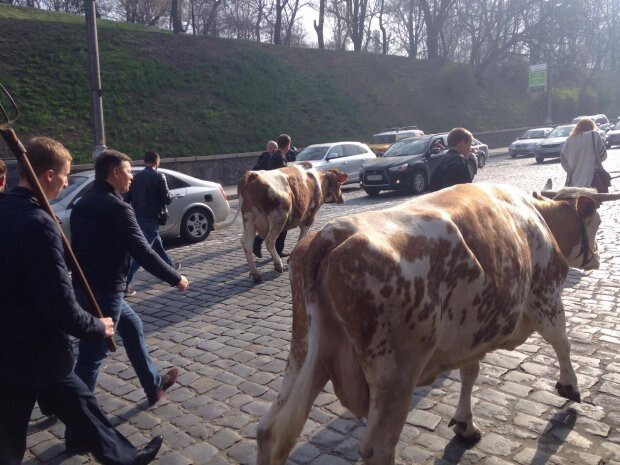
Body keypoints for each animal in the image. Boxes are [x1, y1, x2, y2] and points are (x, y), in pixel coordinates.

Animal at [256, 181, 620, 464]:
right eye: (596, 222)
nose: (598, 257)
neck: (539, 218)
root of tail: (333, 233)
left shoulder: (472, 332)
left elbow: (470, 372)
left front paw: (465, 424)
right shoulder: (546, 297)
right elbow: (562, 340)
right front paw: (570, 386)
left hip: (305, 352)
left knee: (271, 431)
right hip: (396, 372)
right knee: (377, 448)